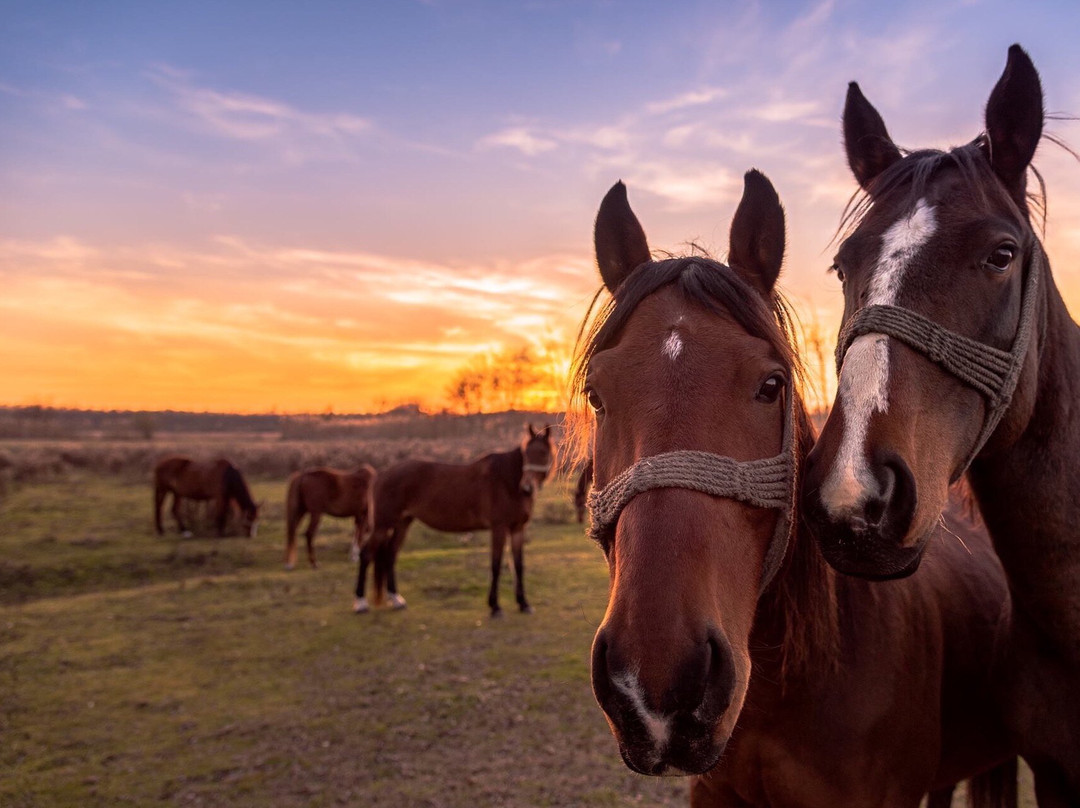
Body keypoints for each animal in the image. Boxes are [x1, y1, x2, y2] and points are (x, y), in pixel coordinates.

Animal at [354, 425, 557, 613]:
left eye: (543, 453)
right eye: (526, 453)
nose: (527, 487)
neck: (507, 481)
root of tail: (381, 474)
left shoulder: (517, 529)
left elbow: (519, 565)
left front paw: (523, 604)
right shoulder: (499, 528)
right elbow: (496, 565)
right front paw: (495, 606)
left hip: (402, 524)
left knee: (390, 554)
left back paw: (396, 598)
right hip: (381, 526)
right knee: (366, 555)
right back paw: (361, 603)